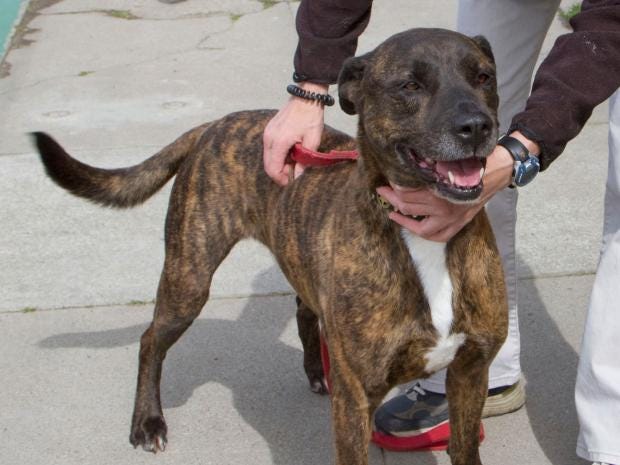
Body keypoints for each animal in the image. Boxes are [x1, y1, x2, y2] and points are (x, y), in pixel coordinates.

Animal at [34, 28, 507, 465]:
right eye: (410, 85)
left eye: (484, 76)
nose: (476, 126)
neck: (422, 235)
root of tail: (214, 125)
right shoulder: (356, 399)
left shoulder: (470, 374)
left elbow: (465, 447)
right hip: (188, 279)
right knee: (151, 339)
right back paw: (147, 422)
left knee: (304, 309)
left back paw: (316, 372)